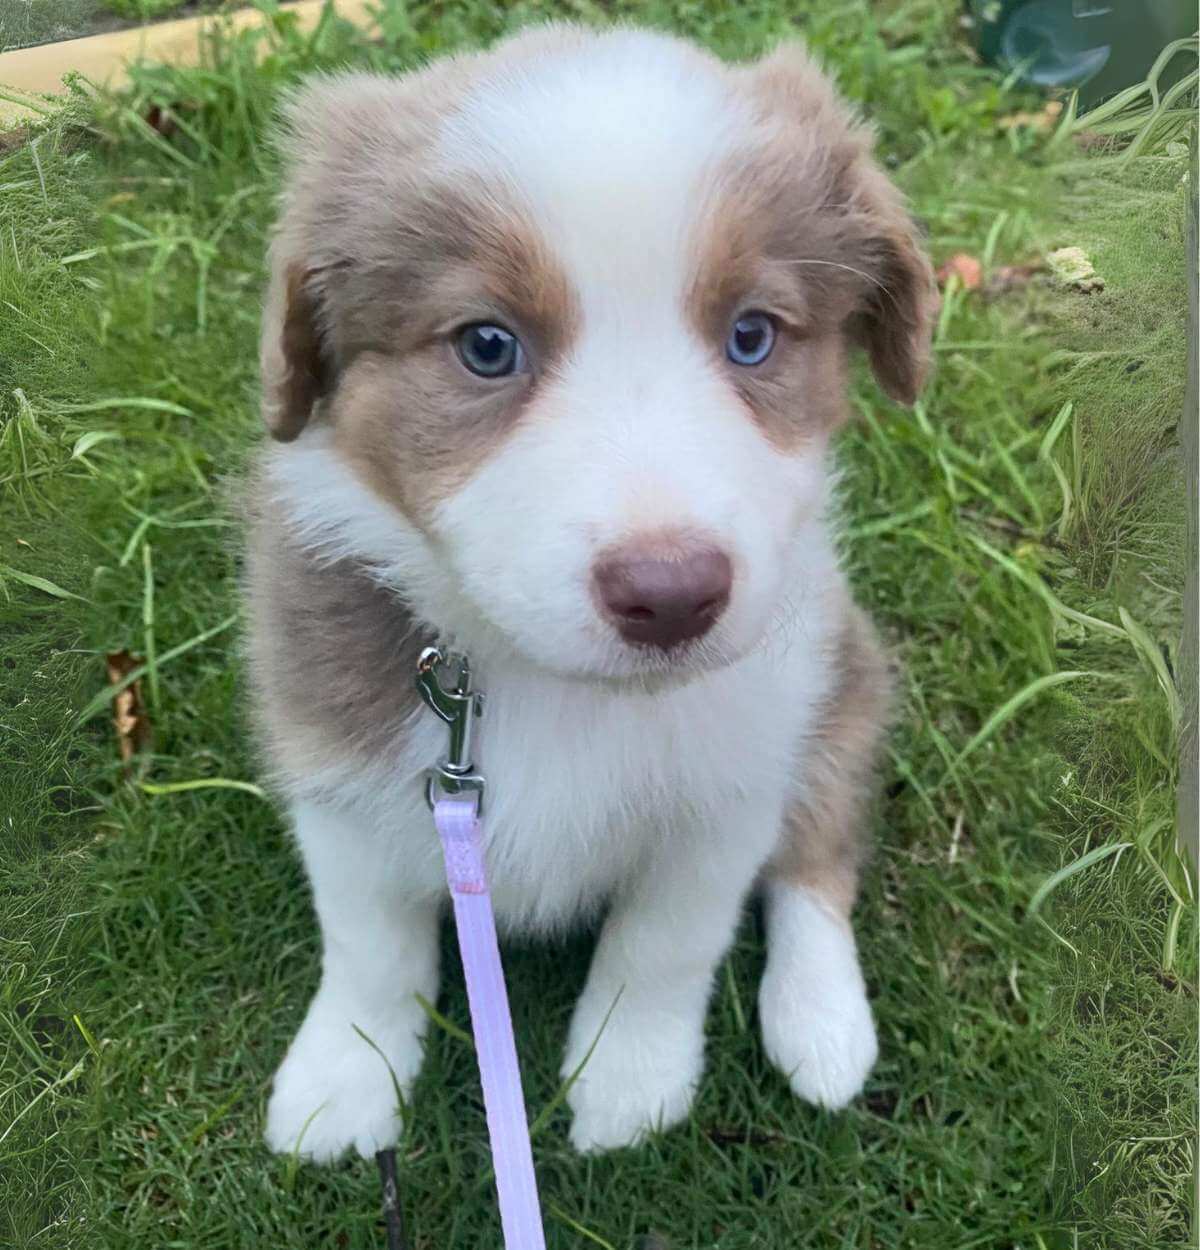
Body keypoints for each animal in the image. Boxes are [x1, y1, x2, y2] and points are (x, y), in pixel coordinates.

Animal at [246, 26, 940, 1160]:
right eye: (487, 345)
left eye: (753, 335)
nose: (672, 595)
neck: (561, 686)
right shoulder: (338, 764)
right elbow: (368, 940)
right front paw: (345, 1075)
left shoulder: (729, 791)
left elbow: (664, 944)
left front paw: (629, 1080)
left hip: (840, 685)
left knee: (819, 859)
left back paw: (822, 1025)